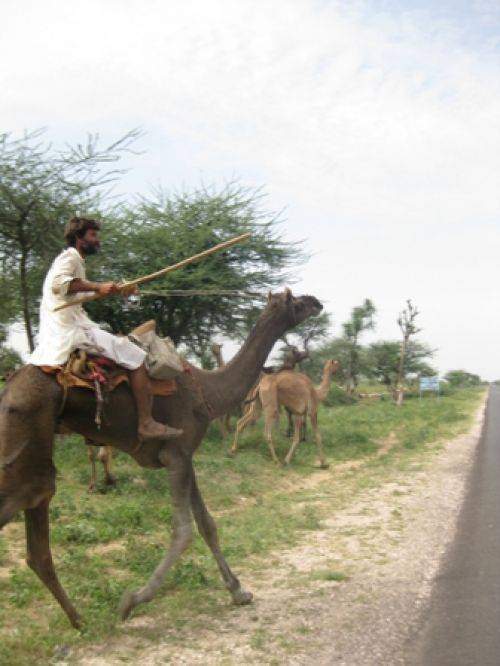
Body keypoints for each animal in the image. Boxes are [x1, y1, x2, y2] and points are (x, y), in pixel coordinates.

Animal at [0, 288, 320, 624]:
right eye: (295, 301)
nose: (317, 303)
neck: (208, 390)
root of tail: (9, 385)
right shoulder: (176, 453)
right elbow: (183, 531)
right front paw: (131, 601)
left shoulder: (185, 455)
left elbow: (207, 524)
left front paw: (239, 591)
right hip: (27, 437)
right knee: (30, 501)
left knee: (37, 546)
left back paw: (78, 620)